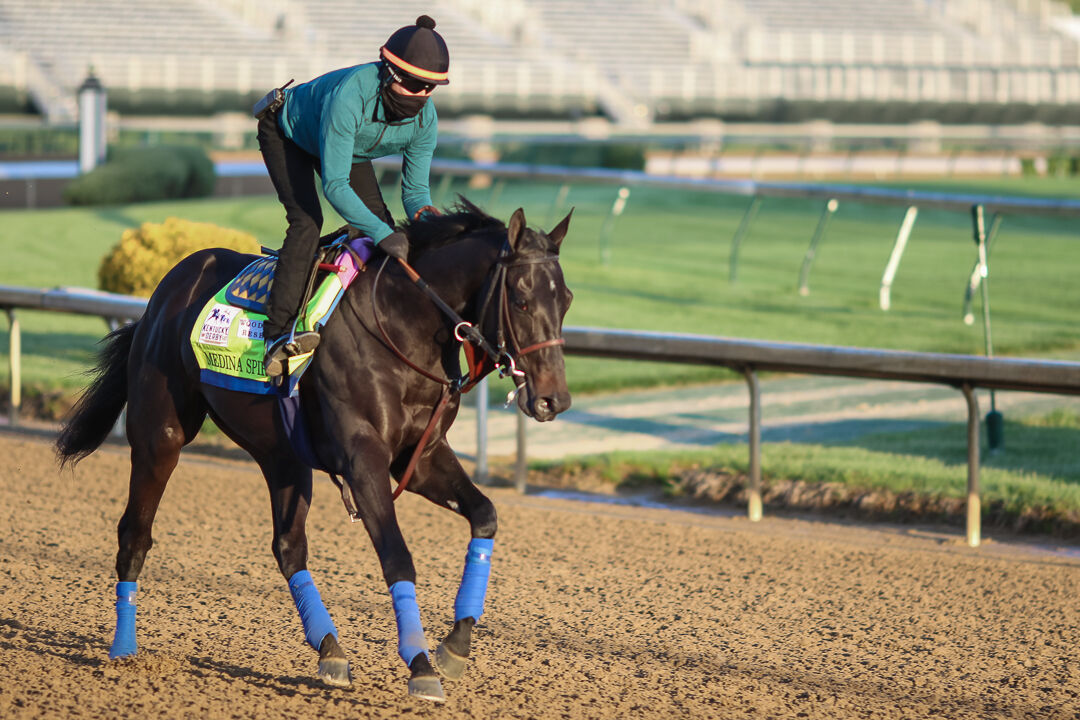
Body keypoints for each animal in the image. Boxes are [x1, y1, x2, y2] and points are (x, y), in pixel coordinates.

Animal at [52, 202, 574, 703]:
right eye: (522, 299)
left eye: (565, 300)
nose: (554, 400)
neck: (401, 326)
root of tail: (163, 294)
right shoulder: (363, 460)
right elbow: (397, 557)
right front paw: (421, 664)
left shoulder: (420, 457)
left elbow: (485, 515)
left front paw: (455, 645)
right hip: (159, 434)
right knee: (134, 535)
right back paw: (123, 650)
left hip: (282, 455)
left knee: (288, 547)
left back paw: (330, 649)